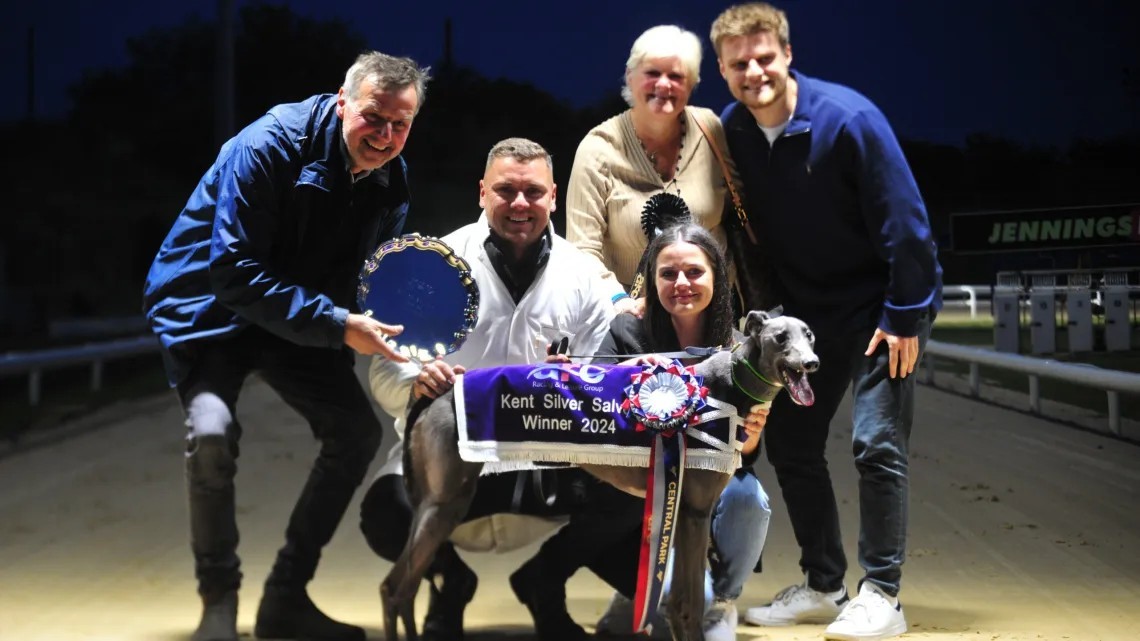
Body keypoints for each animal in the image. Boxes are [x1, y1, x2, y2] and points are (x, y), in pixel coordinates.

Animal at [383, 307, 820, 634]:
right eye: (781, 338)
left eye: (810, 335)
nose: (812, 363)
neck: (723, 383)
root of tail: (439, 392)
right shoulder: (694, 512)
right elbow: (689, 604)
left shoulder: (683, 512)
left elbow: (680, 601)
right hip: (445, 503)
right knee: (393, 588)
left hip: (433, 505)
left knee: (404, 589)